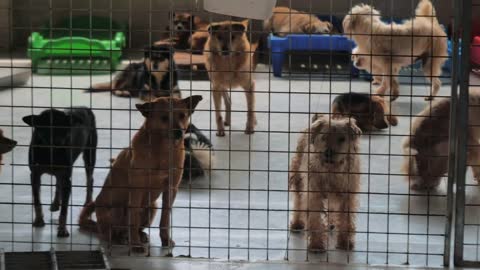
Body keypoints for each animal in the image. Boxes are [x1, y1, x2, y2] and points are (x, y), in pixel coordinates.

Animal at [22, 106, 97, 237]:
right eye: (46, 128)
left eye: (64, 128)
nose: (58, 142)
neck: (51, 151)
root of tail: (85, 107)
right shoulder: (35, 175)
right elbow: (37, 200)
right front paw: (38, 220)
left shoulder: (67, 179)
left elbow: (64, 210)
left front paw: (62, 229)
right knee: (58, 181)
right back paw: (56, 203)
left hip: (90, 154)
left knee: (89, 179)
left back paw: (88, 201)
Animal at [80, 96, 202, 252]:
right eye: (164, 117)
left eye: (182, 115)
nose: (178, 132)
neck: (163, 151)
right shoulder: (136, 190)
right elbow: (133, 219)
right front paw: (136, 245)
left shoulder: (171, 189)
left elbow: (165, 219)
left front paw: (165, 239)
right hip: (117, 208)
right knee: (111, 233)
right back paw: (120, 238)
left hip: (152, 206)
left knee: (134, 227)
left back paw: (139, 235)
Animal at [288, 114, 360, 253]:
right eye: (324, 137)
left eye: (342, 139)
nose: (328, 153)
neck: (331, 169)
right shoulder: (313, 194)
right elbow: (315, 218)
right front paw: (316, 245)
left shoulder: (347, 195)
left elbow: (346, 219)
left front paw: (345, 242)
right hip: (298, 177)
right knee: (298, 199)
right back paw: (297, 222)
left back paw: (331, 223)